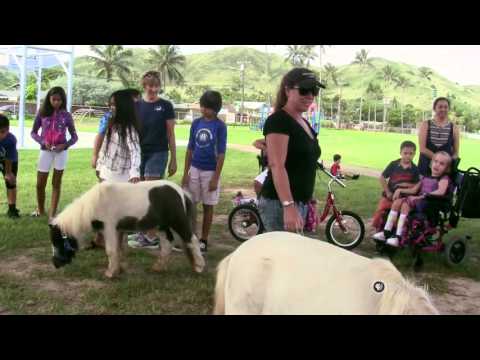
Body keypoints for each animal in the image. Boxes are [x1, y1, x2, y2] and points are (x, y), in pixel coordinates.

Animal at [49, 180, 205, 278]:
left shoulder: (109, 229)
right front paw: (118, 270)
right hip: (162, 226)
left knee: (192, 240)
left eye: (58, 241)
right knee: (167, 244)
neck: (96, 204)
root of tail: (181, 192)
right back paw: (158, 268)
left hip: (178, 222)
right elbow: (118, 250)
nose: (55, 264)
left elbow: (111, 251)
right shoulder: (118, 230)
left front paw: (110, 273)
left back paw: (199, 267)